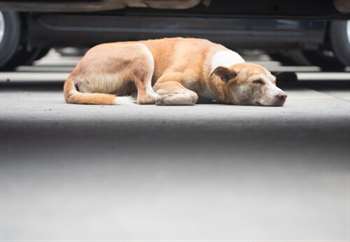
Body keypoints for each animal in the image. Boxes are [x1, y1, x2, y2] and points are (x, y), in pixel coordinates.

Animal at [63, 37, 288, 105]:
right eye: (257, 82)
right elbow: (193, 94)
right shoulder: (166, 81)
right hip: (142, 51)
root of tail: (74, 71)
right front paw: (170, 98)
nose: (283, 96)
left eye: (275, 82)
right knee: (145, 95)